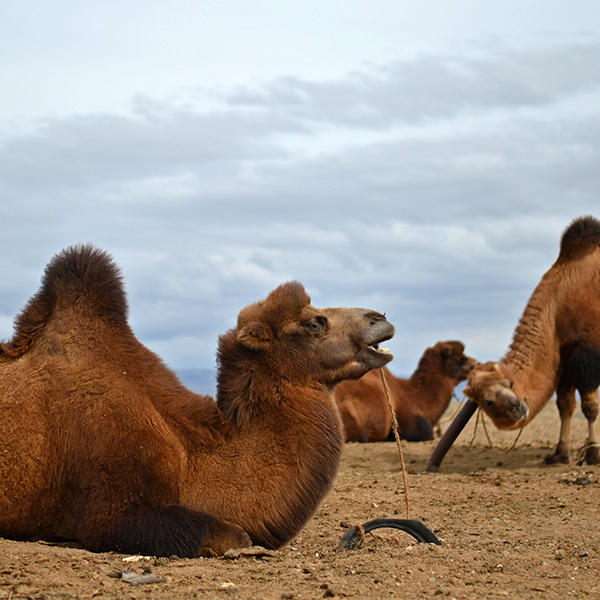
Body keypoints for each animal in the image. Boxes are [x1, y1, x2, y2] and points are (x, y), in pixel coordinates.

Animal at [462, 216, 600, 464]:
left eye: (510, 383)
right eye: (487, 402)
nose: (517, 406)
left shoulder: (586, 352)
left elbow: (590, 407)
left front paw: (593, 454)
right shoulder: (563, 355)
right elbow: (565, 405)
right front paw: (560, 454)